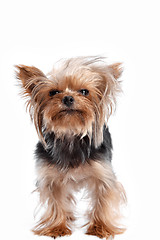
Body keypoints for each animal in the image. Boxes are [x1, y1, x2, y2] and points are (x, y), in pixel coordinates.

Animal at [15, 56, 126, 240]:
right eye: (53, 92)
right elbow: (56, 202)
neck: (70, 133)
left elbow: (103, 199)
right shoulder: (51, 178)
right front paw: (57, 227)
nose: (68, 98)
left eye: (84, 91)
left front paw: (101, 227)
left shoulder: (103, 174)